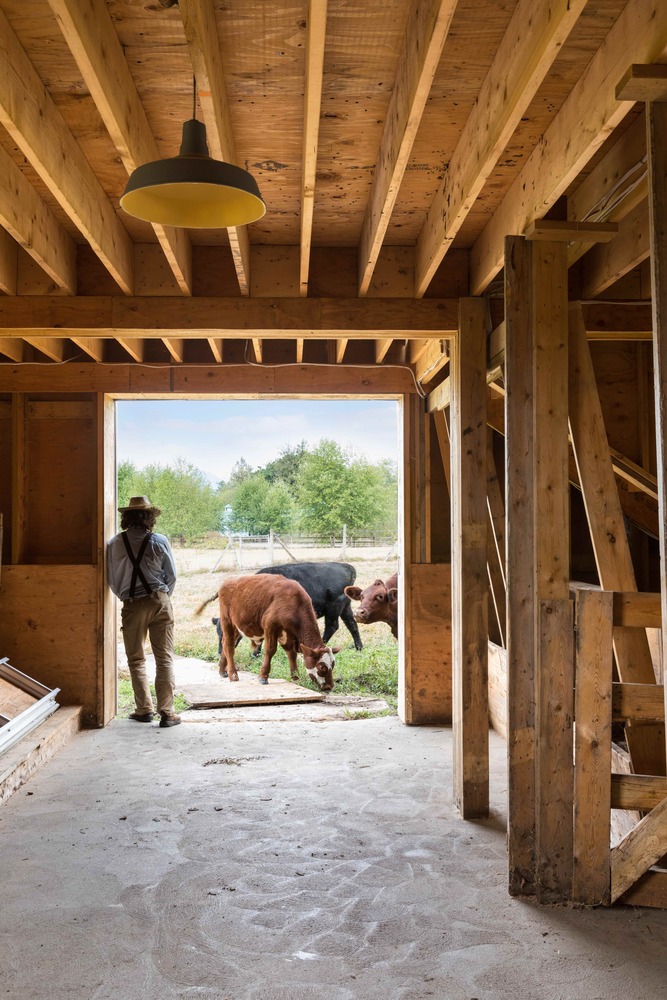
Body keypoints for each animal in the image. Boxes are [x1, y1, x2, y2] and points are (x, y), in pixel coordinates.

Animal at [194, 576, 340, 692]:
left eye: (333, 665)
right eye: (322, 666)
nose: (329, 686)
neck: (295, 603)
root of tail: (228, 581)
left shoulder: (288, 633)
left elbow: (291, 653)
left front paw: (295, 676)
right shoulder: (270, 627)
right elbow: (270, 650)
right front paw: (263, 677)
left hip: (236, 626)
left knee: (226, 644)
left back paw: (222, 670)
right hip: (226, 621)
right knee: (229, 645)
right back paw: (233, 674)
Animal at [213, 564, 362, 656]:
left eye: (227, 632)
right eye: (218, 633)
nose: (220, 652)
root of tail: (346, 566)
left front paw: (255, 654)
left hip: (333, 607)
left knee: (332, 626)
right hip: (345, 607)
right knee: (352, 624)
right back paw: (359, 647)